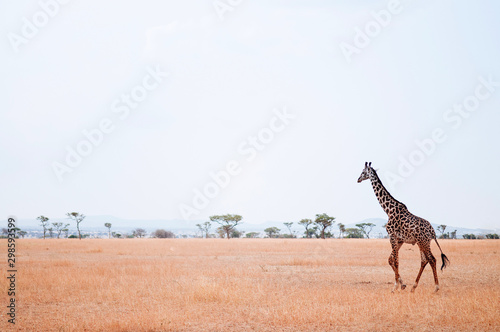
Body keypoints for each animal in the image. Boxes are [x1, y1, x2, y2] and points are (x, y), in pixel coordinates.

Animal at [356, 162, 450, 292]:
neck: (388, 210)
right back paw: (413, 287)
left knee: (432, 259)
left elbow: (396, 261)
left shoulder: (392, 236)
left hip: (423, 242)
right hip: (422, 242)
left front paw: (395, 287)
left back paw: (436, 287)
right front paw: (402, 284)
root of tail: (433, 232)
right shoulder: (400, 240)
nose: (358, 179)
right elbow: (390, 259)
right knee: (424, 260)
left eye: (363, 172)